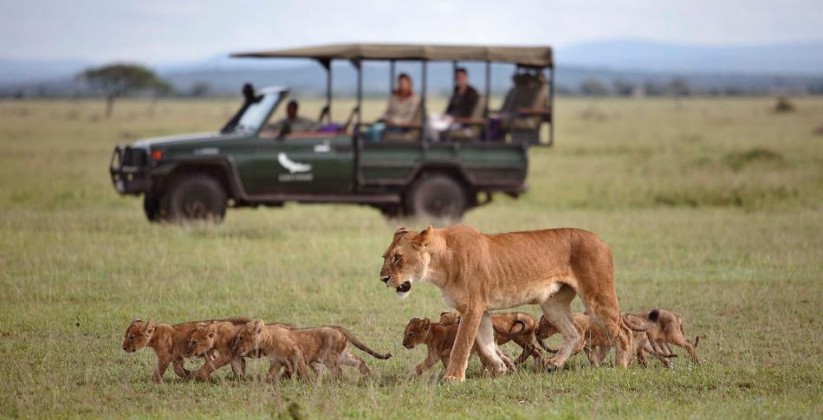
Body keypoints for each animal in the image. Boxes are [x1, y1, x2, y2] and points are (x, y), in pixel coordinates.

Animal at [380, 225, 632, 382]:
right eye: (385, 257)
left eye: (398, 257)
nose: (383, 278)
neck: (440, 264)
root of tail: (601, 241)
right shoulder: (482, 311)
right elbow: (486, 344)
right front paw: (501, 368)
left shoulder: (473, 308)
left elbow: (462, 345)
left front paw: (453, 377)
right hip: (552, 304)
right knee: (576, 332)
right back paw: (554, 364)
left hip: (597, 297)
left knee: (623, 332)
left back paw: (621, 365)